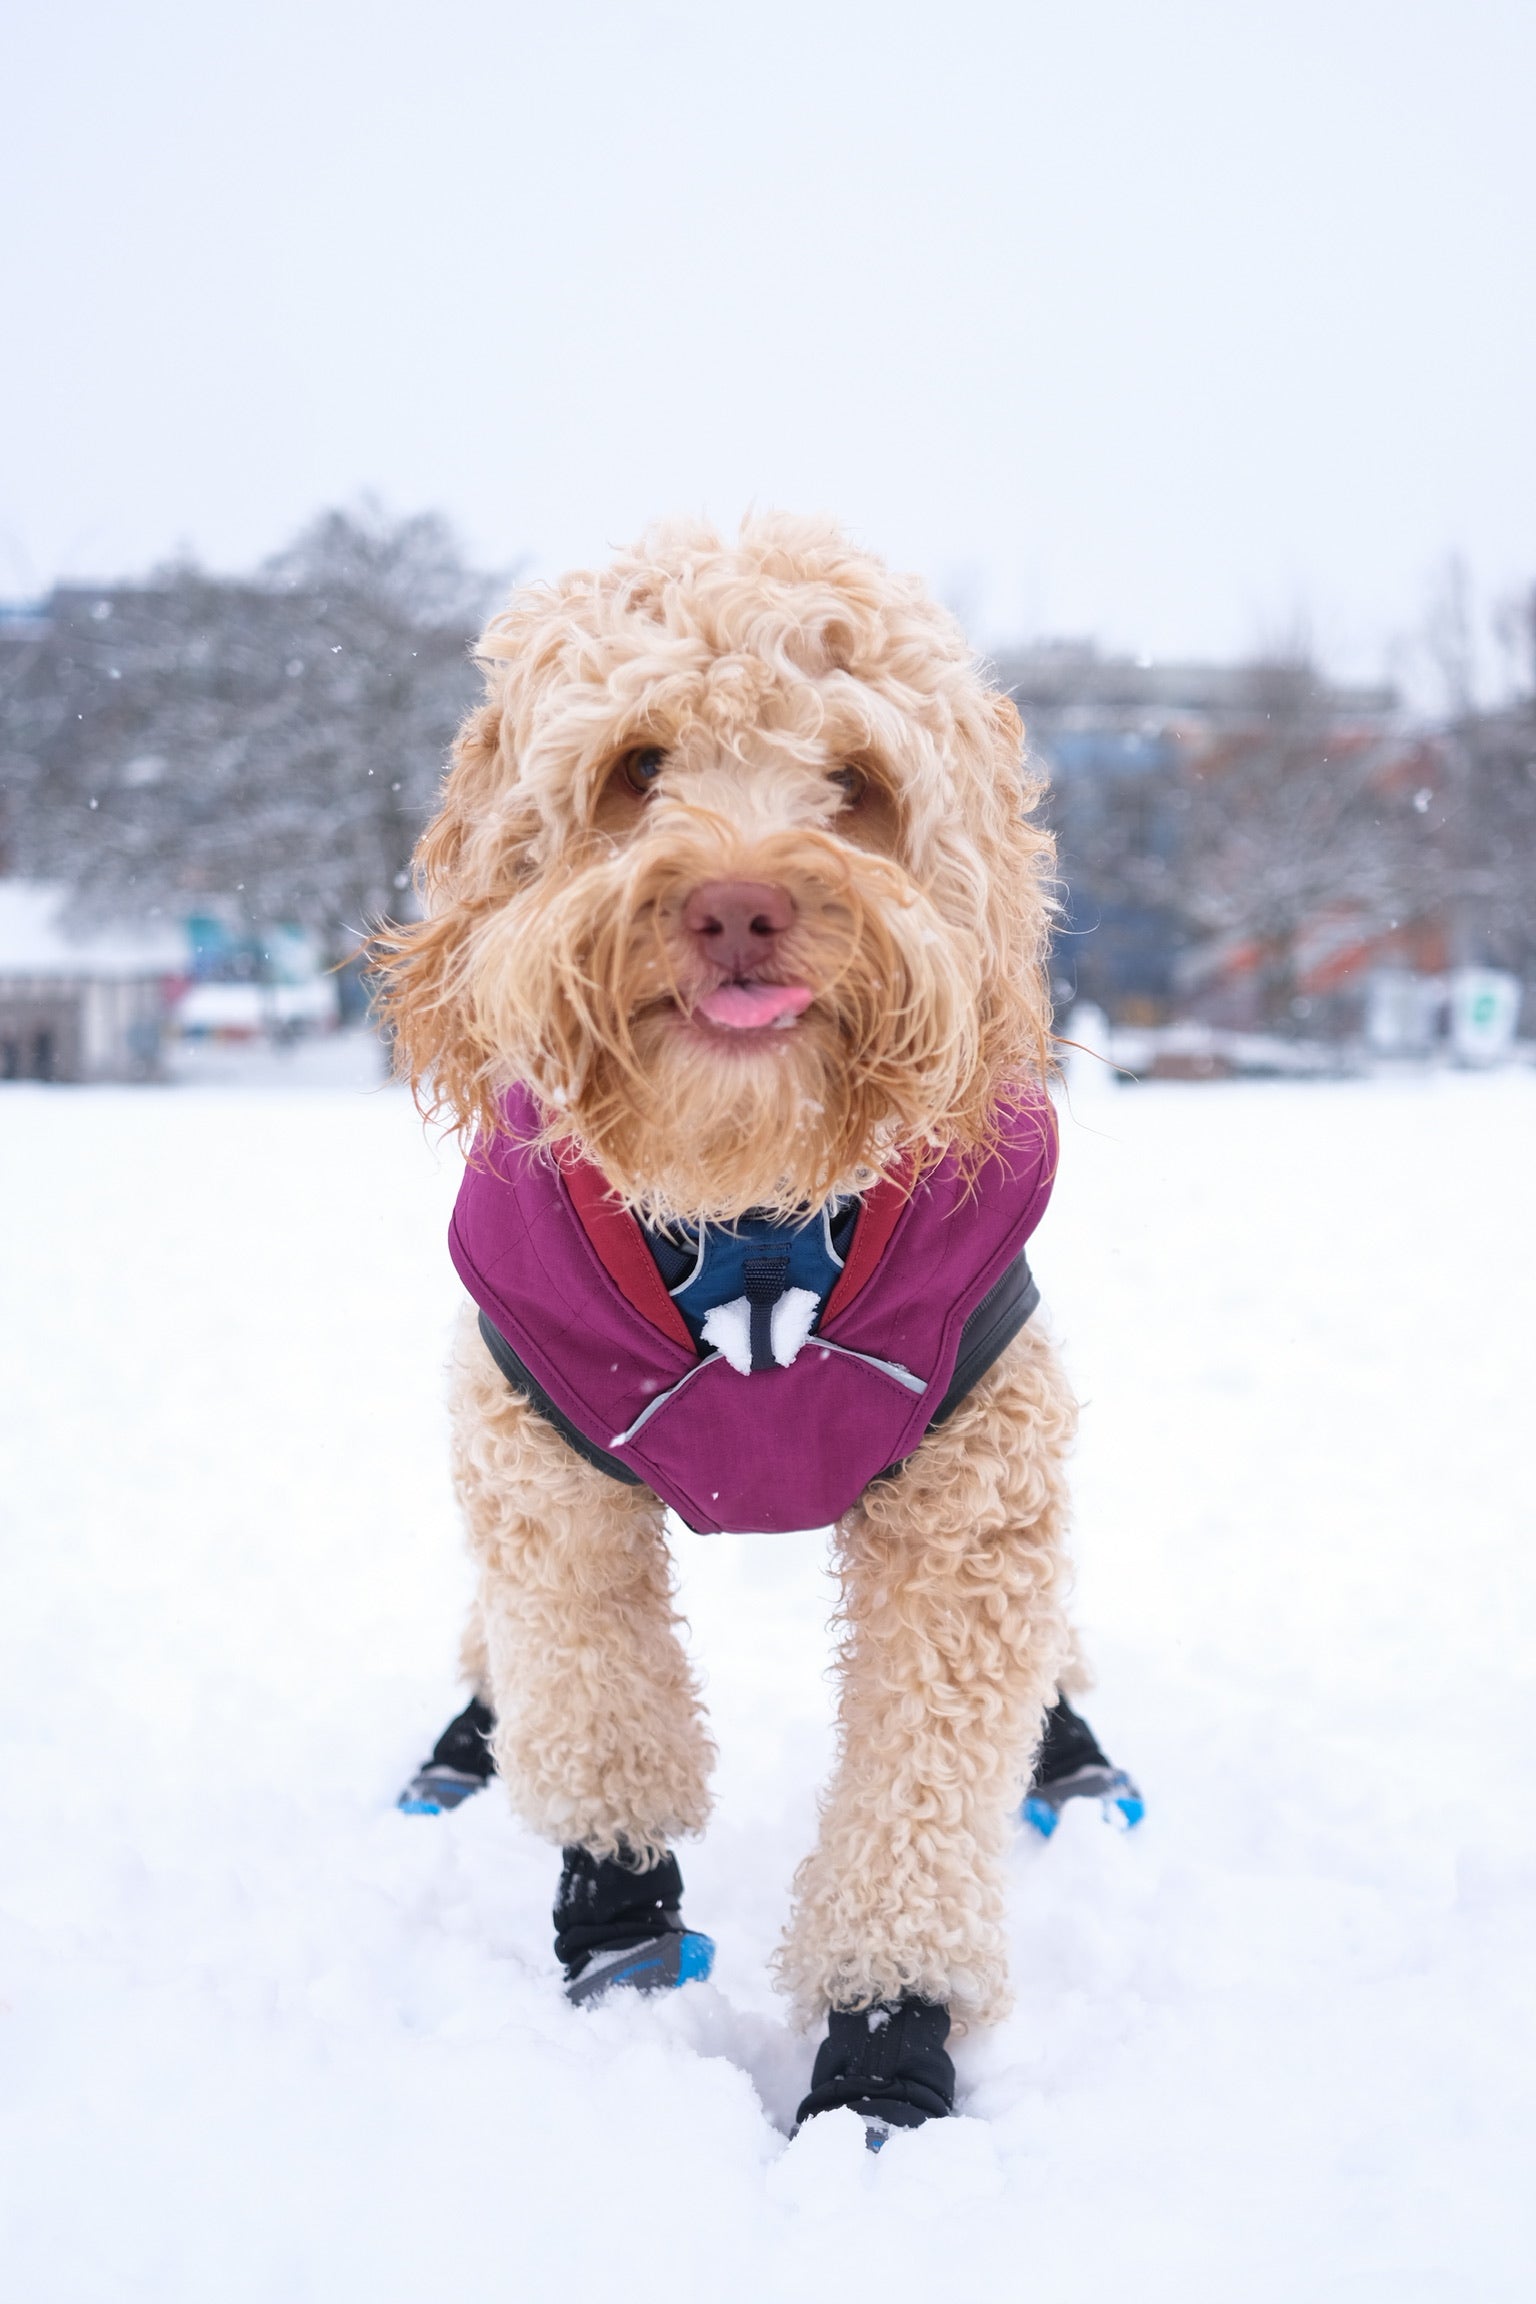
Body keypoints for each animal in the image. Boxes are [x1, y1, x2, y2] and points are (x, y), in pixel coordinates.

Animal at [373, 518, 1123, 2138]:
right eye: (638, 765)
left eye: (856, 780)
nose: (737, 904)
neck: (753, 1212)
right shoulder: (541, 1458)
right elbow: (599, 1711)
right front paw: (617, 1936)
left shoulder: (974, 1491)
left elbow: (922, 1792)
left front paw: (885, 2047)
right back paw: (464, 1745)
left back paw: (1078, 1757)